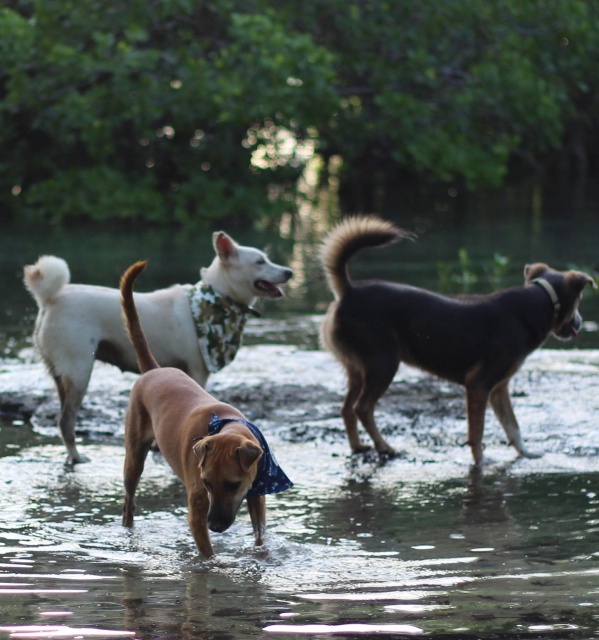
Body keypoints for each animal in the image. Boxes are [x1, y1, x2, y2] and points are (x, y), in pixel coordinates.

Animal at [22, 232, 292, 462]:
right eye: (260, 261)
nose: (289, 272)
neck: (219, 298)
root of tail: (50, 298)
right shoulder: (198, 372)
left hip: (61, 375)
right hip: (79, 372)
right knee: (66, 421)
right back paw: (77, 457)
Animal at [120, 258, 292, 556]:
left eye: (233, 485)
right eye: (207, 482)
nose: (215, 525)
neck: (225, 424)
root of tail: (154, 370)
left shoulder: (256, 494)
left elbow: (260, 534)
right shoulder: (198, 506)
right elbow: (207, 552)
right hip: (134, 457)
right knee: (129, 501)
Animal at [318, 216, 596, 464]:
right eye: (580, 301)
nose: (581, 322)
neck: (540, 301)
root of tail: (348, 292)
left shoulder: (499, 389)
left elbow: (513, 427)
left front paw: (525, 454)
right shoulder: (479, 385)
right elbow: (477, 432)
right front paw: (481, 462)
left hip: (358, 368)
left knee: (346, 409)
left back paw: (358, 446)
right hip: (384, 363)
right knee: (362, 408)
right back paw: (385, 447)